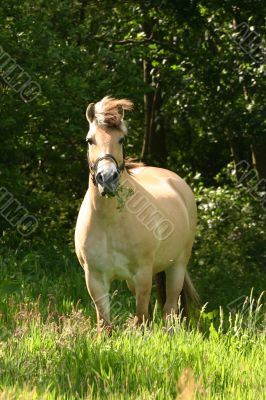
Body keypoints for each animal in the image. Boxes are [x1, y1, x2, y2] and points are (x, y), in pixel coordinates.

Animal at [75, 96, 200, 332]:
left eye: (121, 139)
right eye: (89, 140)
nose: (107, 178)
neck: (110, 223)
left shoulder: (142, 274)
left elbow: (141, 318)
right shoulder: (95, 279)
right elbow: (105, 325)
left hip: (176, 266)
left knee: (169, 309)